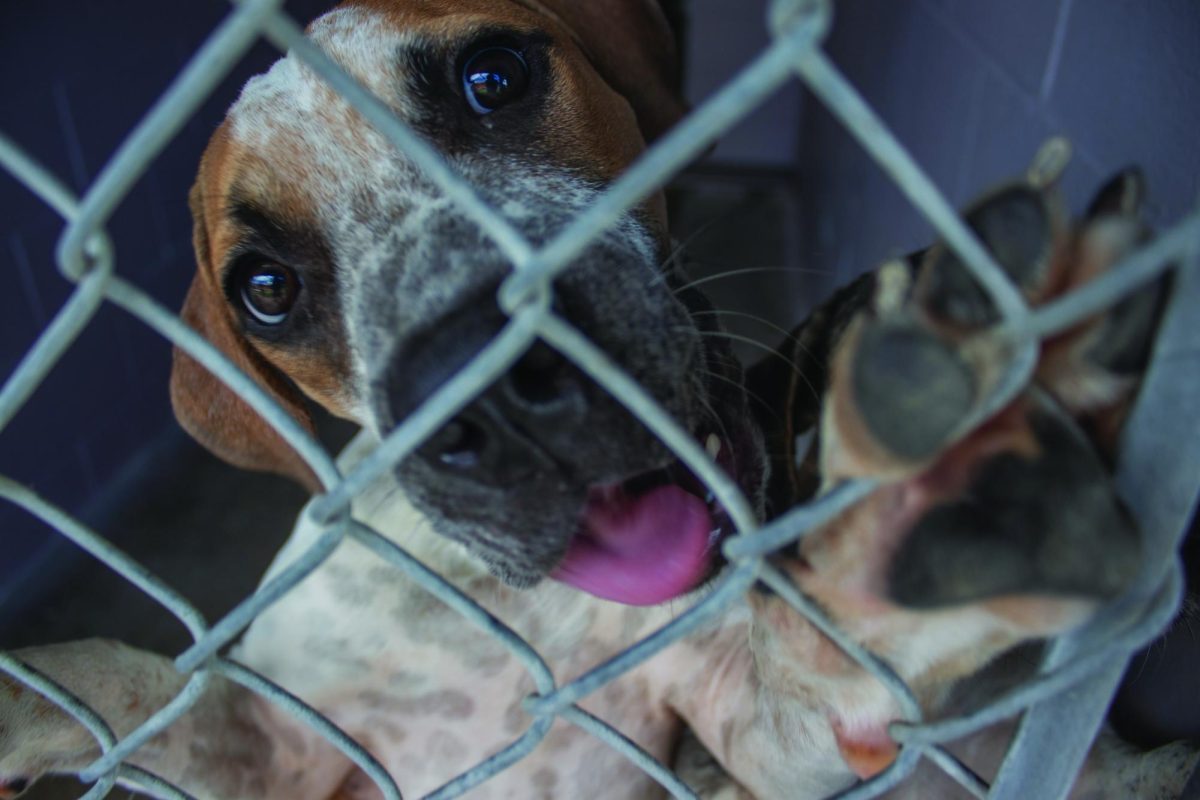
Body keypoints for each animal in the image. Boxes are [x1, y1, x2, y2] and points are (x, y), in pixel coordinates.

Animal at [0, 1, 1195, 800]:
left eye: (492, 77)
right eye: (265, 287)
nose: (489, 391)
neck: (507, 604)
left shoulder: (747, 726)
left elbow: (824, 662)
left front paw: (929, 496)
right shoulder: (289, 754)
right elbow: (131, 682)